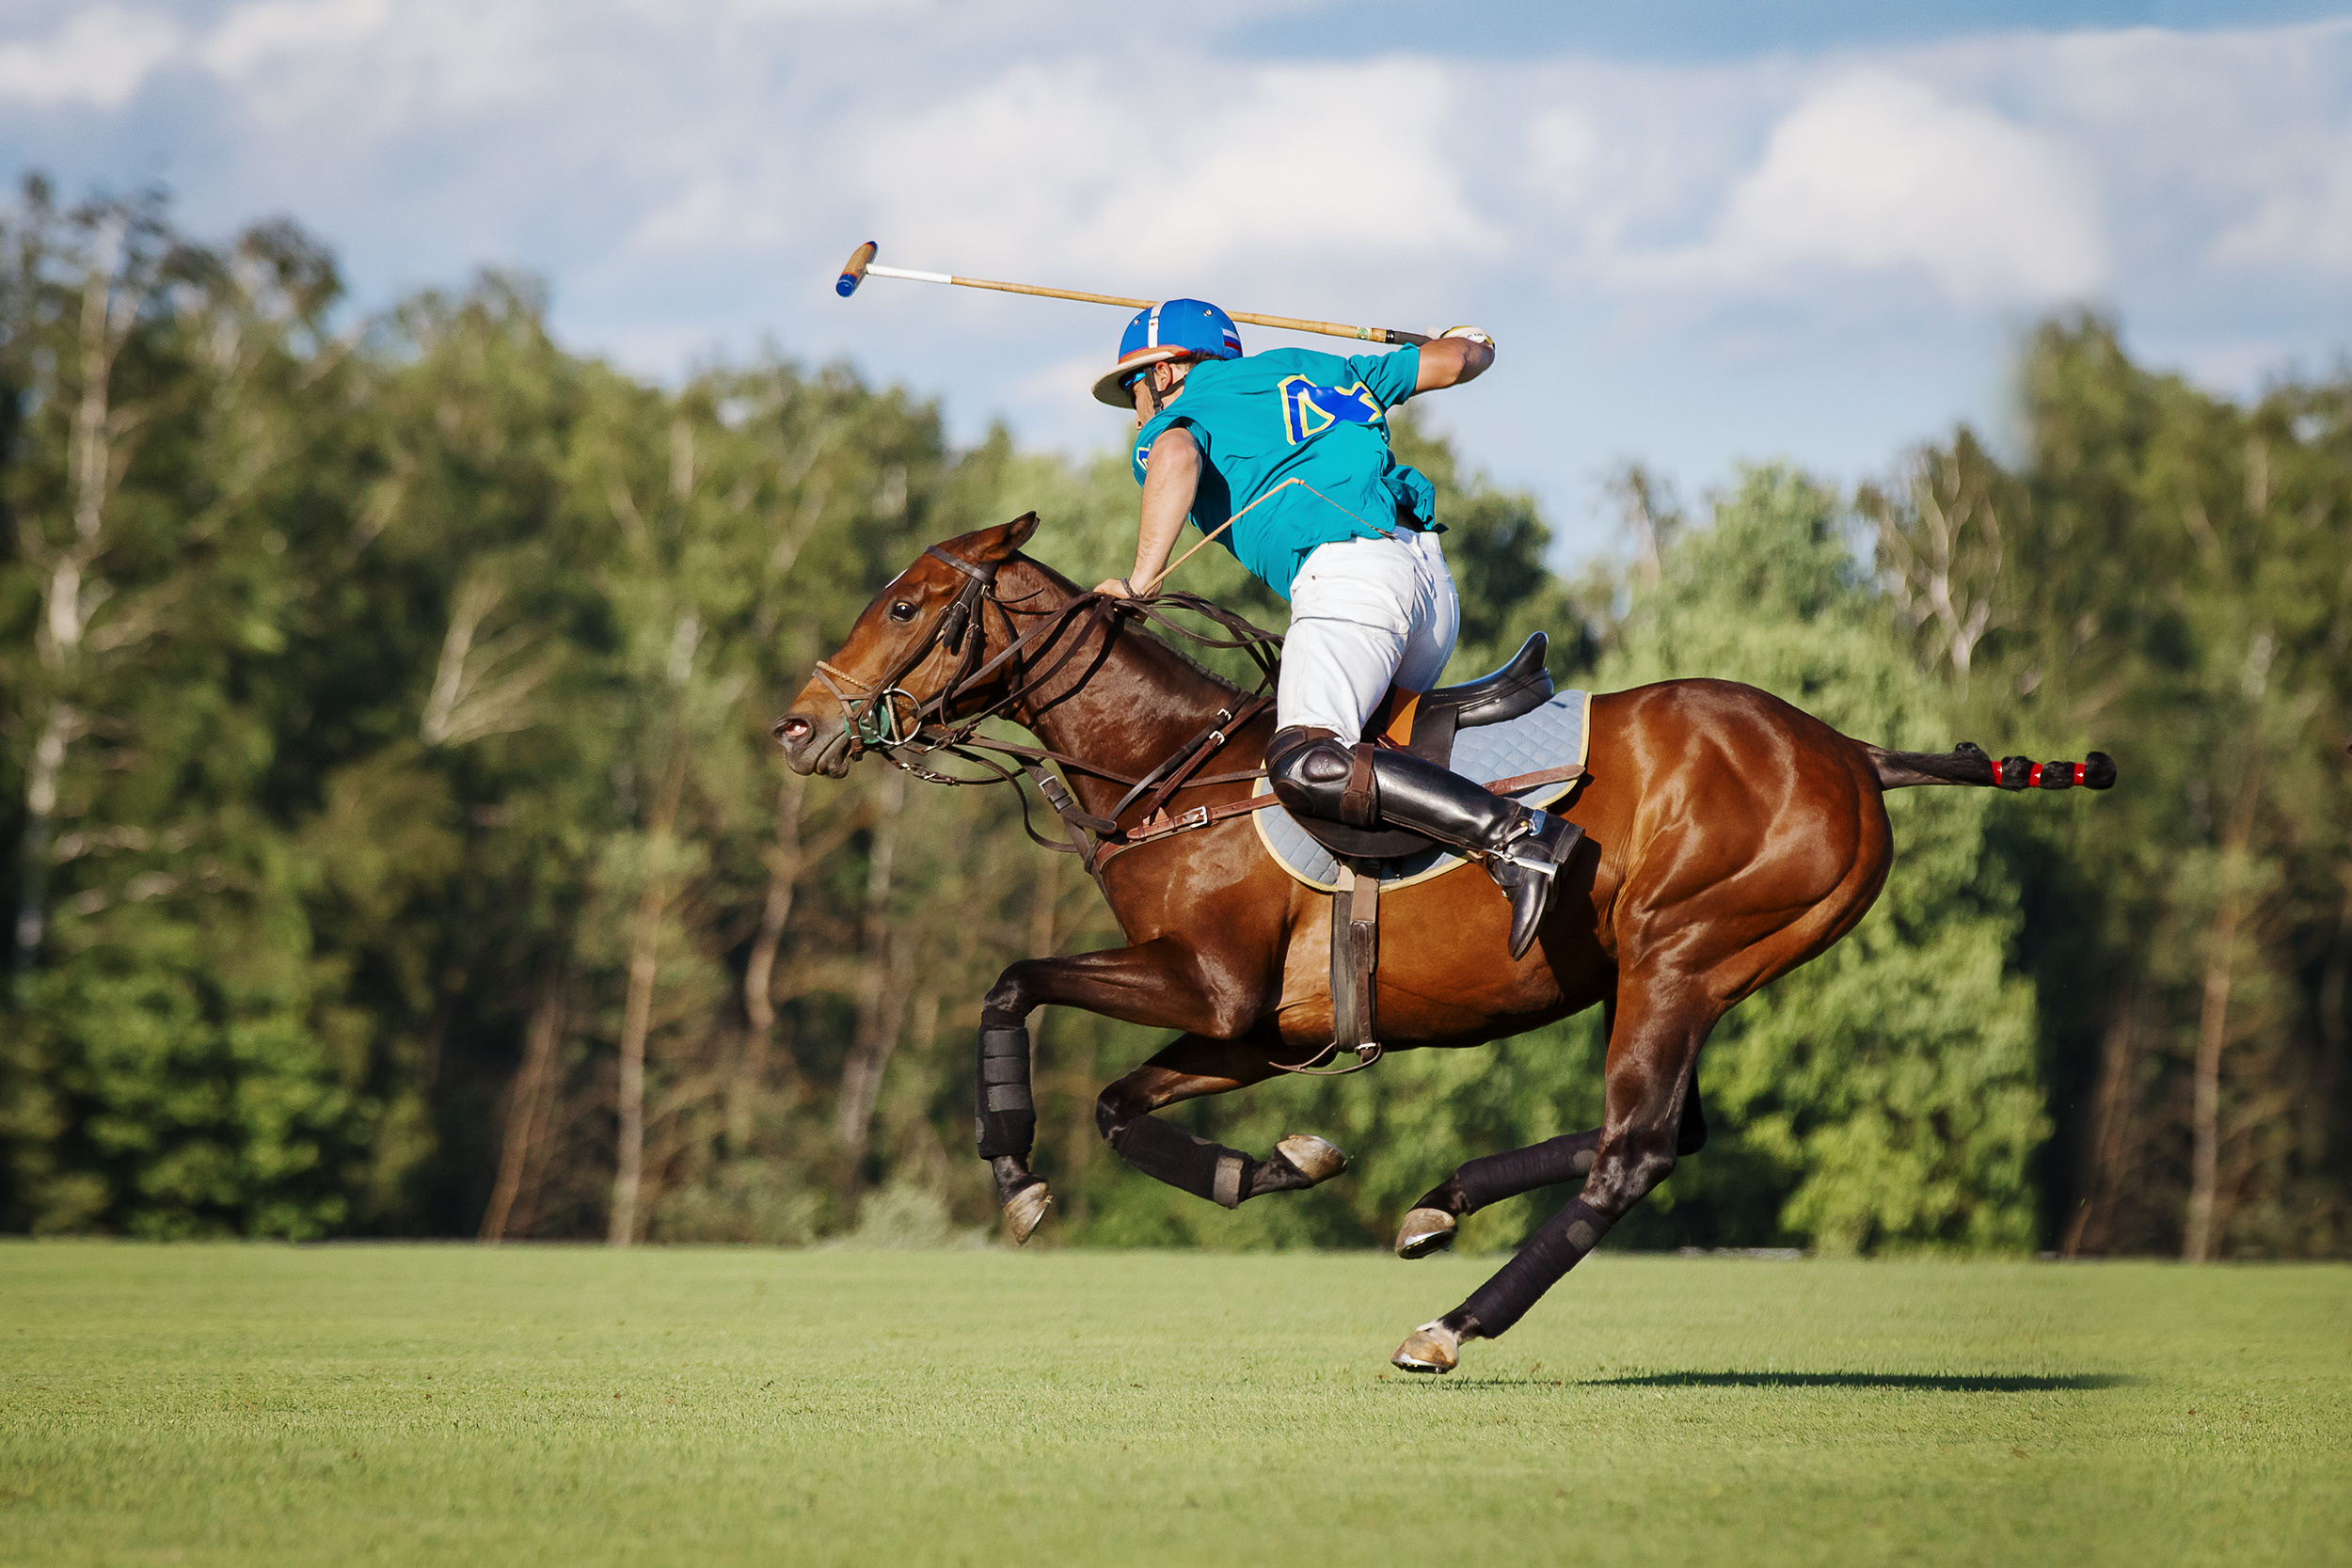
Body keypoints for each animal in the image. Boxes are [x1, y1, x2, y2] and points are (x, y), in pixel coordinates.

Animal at [771, 516, 2117, 1372]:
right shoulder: (1257, 1029)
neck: (1173, 769)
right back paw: (1438, 1200)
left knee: (1635, 1150)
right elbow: (1117, 1103)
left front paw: (1015, 1176)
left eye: (906, 604)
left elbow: (1008, 987)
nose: (796, 726)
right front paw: (1280, 1163)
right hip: (1687, 969)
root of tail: (1851, 750)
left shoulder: (1207, 984)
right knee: (1666, 1131)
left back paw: (1449, 1325)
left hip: (1681, 952)